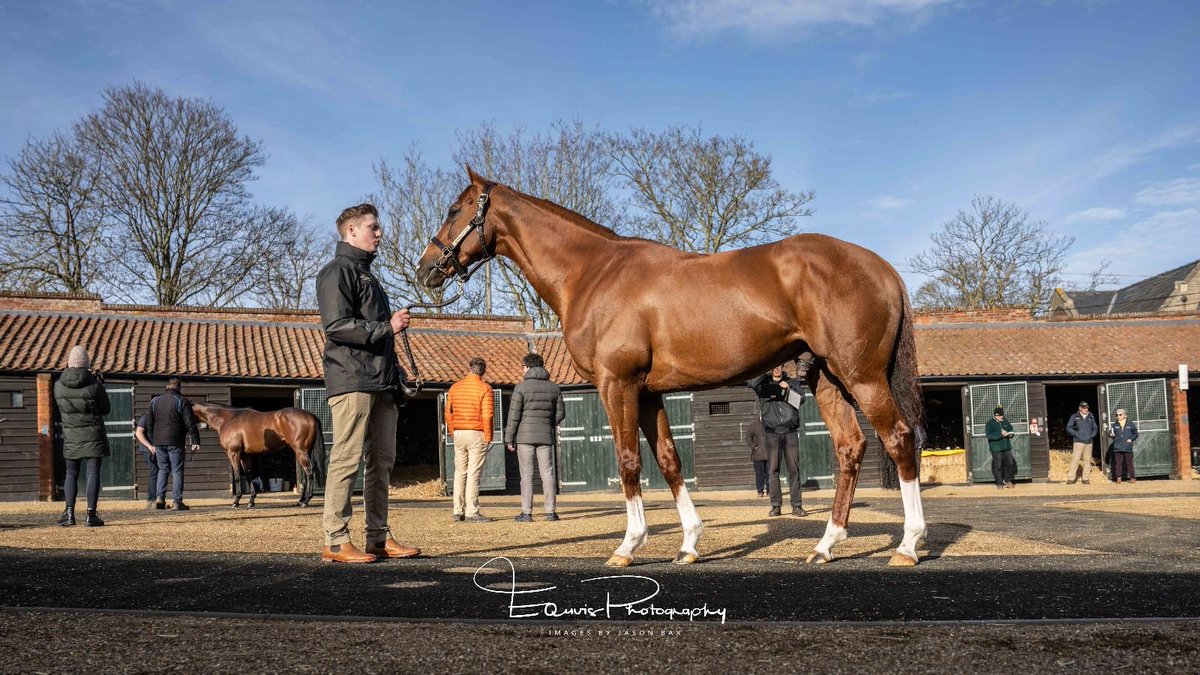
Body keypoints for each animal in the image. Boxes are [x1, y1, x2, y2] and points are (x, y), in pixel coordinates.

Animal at [191, 402, 326, 509]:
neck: (228, 419)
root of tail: (310, 415)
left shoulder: (233, 453)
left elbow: (237, 476)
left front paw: (236, 501)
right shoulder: (245, 455)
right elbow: (248, 475)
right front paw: (251, 501)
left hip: (301, 451)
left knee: (309, 472)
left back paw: (306, 501)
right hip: (304, 451)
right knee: (306, 474)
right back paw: (300, 500)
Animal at [416, 167, 926, 567]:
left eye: (454, 209)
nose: (426, 268)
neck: (593, 272)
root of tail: (881, 267)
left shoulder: (617, 384)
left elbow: (628, 461)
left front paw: (628, 545)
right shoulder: (648, 392)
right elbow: (668, 460)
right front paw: (690, 544)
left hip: (862, 377)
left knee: (900, 439)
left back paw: (907, 545)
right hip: (829, 379)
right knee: (851, 448)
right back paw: (825, 545)